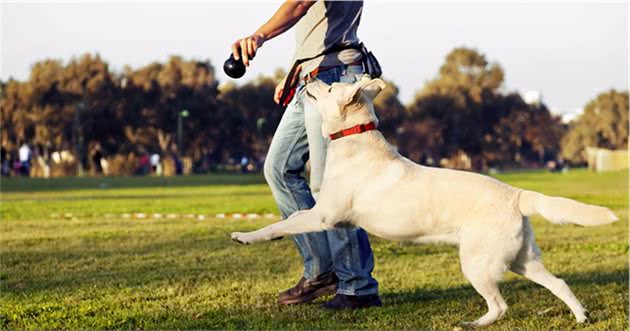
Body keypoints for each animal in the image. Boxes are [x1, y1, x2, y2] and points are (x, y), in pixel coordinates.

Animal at [230, 76, 620, 326]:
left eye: (328, 87)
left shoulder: (323, 215)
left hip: (477, 263)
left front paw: (245, 236)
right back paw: (581, 317)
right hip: (522, 260)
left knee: (500, 305)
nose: (307, 78)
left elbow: (283, 223)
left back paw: (473, 323)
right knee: (559, 283)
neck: (354, 140)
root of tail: (516, 194)